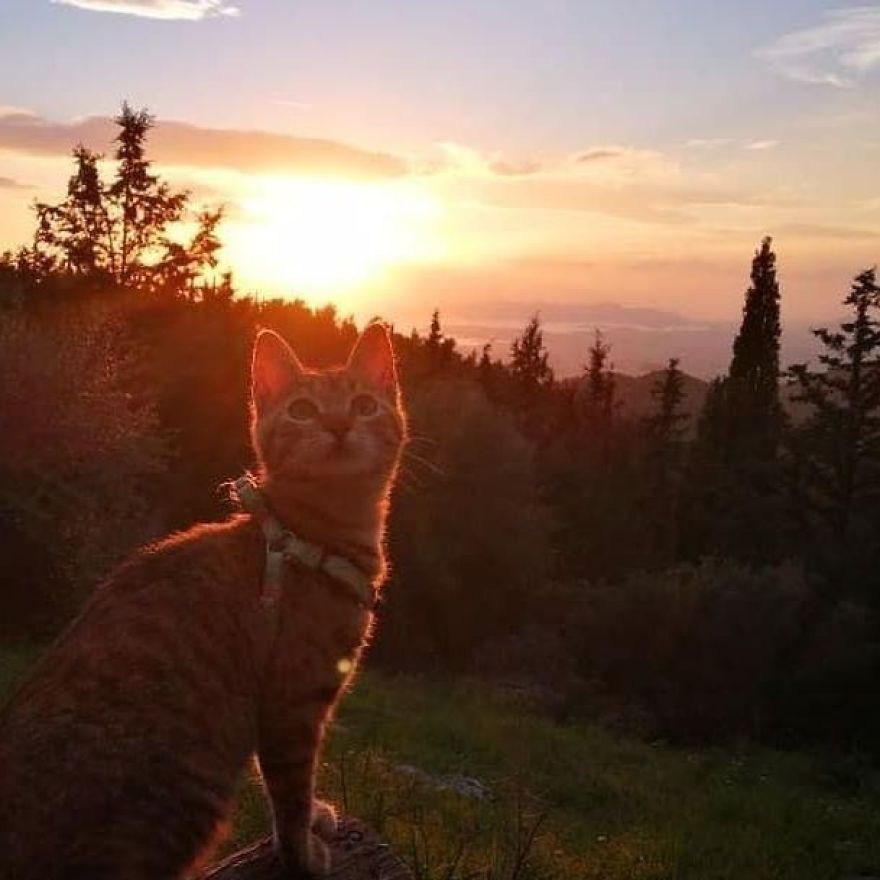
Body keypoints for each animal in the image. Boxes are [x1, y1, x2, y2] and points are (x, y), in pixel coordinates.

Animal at [0, 324, 406, 880]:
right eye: (302, 410)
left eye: (364, 404)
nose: (340, 425)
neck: (315, 537)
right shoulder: (292, 704)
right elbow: (290, 794)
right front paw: (302, 852)